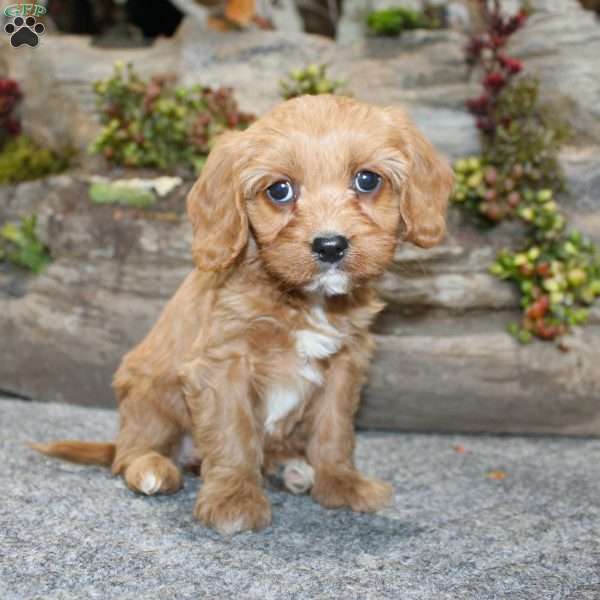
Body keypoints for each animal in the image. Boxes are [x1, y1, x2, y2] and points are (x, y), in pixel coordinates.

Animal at [32, 94, 452, 536]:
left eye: (367, 180)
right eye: (280, 190)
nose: (330, 245)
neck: (302, 298)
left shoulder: (345, 363)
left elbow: (335, 429)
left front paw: (342, 483)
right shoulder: (223, 364)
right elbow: (234, 434)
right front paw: (233, 499)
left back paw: (294, 469)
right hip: (147, 397)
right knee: (129, 454)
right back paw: (153, 468)